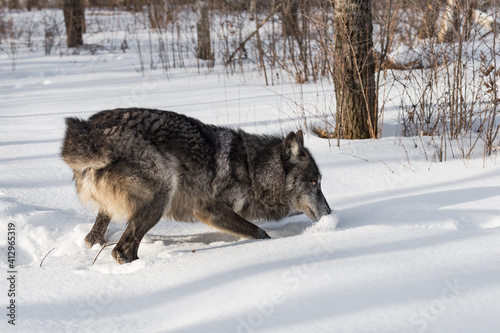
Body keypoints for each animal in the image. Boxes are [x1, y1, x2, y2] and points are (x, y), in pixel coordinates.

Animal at [59, 107, 332, 264]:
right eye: (313, 182)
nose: (329, 213)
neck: (252, 168)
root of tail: (90, 131)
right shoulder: (209, 209)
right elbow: (259, 232)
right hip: (163, 194)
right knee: (122, 252)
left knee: (92, 239)